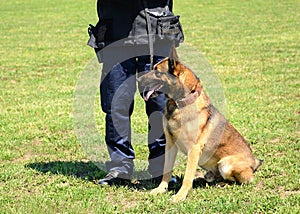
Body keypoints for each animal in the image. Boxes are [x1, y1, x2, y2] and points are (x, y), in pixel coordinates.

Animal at [137, 48, 262, 202]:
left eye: (157, 71)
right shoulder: (170, 144)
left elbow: (187, 177)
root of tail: (254, 162)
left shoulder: (194, 149)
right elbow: (167, 170)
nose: (137, 80)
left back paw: (222, 183)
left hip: (225, 164)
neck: (179, 102)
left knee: (239, 180)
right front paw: (161, 189)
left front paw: (180, 196)